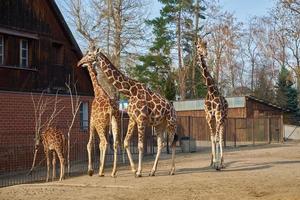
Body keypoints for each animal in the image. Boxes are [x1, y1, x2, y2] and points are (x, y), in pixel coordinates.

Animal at [78, 49, 178, 177]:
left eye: (90, 55)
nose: (80, 63)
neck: (130, 92)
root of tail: (173, 108)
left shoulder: (141, 119)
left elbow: (140, 146)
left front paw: (139, 172)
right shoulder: (132, 118)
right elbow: (125, 142)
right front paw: (134, 169)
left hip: (171, 123)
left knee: (172, 143)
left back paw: (172, 170)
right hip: (159, 124)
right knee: (161, 144)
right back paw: (152, 171)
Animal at [196, 38, 229, 170]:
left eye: (206, 45)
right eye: (198, 46)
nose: (205, 54)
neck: (210, 91)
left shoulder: (219, 115)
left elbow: (216, 138)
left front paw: (218, 163)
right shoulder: (209, 117)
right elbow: (211, 138)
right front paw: (213, 161)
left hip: (223, 119)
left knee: (220, 136)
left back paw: (222, 162)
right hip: (215, 119)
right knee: (216, 137)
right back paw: (214, 162)